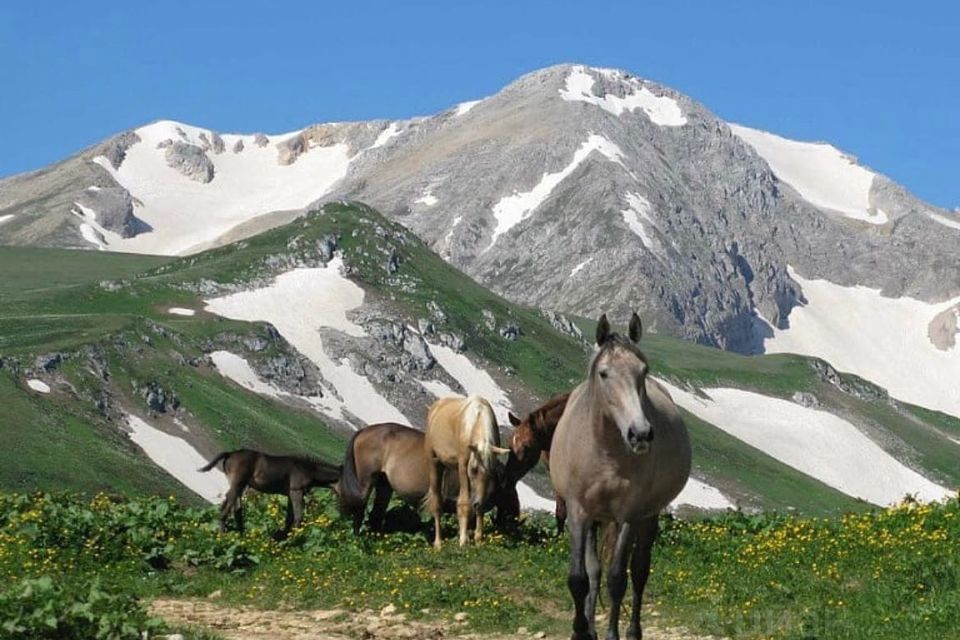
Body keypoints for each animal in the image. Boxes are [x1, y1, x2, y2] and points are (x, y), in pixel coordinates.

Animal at [198, 450, 342, 536]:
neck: (308, 469)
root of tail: (230, 454)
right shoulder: (296, 491)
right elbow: (298, 517)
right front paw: (295, 539)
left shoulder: (289, 495)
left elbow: (289, 519)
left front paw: (284, 538)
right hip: (238, 483)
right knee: (229, 504)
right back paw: (222, 534)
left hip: (240, 485)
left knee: (235, 506)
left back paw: (241, 535)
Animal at [422, 392, 506, 548]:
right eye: (473, 469)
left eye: (491, 471)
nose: (477, 503)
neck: (476, 421)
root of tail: (436, 407)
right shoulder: (462, 466)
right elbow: (464, 503)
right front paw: (463, 540)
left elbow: (480, 506)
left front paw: (478, 539)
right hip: (434, 462)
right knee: (437, 502)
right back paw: (438, 543)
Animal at [548, 316, 688, 640]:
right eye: (604, 373)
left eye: (643, 371)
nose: (640, 434)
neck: (605, 451)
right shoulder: (578, 513)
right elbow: (579, 578)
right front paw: (580, 631)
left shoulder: (628, 516)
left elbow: (617, 579)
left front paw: (612, 633)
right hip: (596, 520)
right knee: (594, 571)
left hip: (647, 516)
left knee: (638, 571)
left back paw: (633, 631)